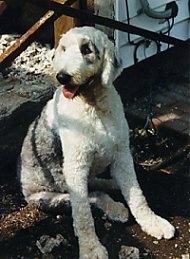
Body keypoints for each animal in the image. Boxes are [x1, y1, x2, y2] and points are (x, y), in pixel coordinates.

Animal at [18, 26, 174, 259]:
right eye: (63, 49)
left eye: (87, 49)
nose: (62, 77)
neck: (93, 105)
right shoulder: (76, 167)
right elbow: (83, 214)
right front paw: (91, 248)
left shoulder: (122, 156)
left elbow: (137, 195)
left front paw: (153, 222)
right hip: (50, 197)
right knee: (90, 197)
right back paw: (113, 207)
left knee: (96, 186)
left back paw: (112, 186)